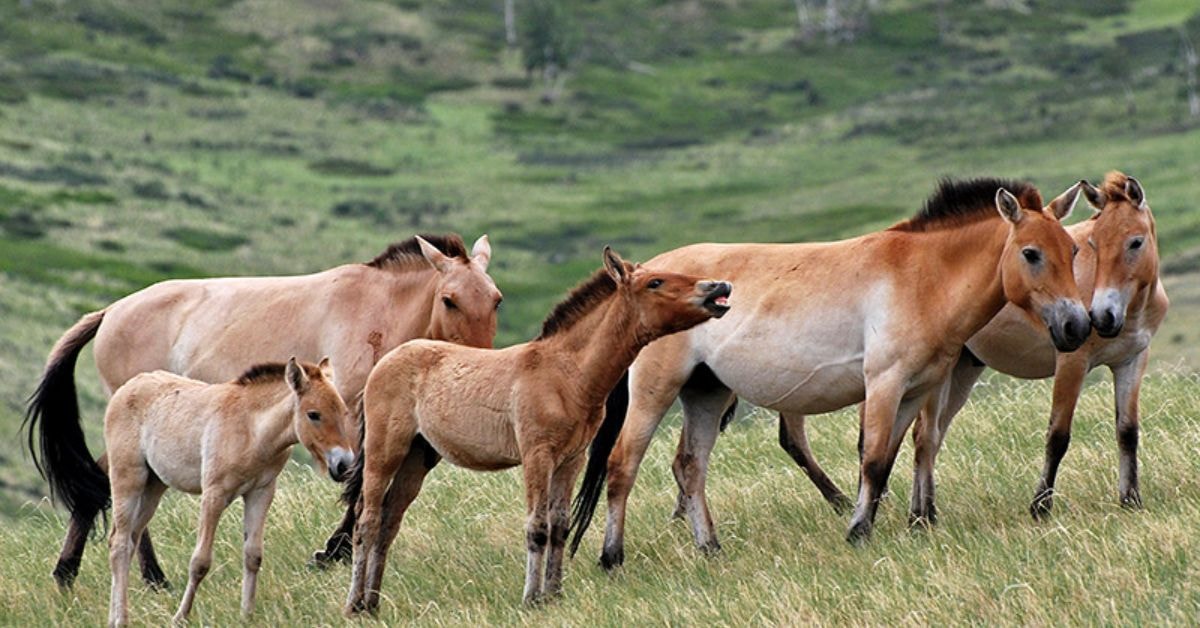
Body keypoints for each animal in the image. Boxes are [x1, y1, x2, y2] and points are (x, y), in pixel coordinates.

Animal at [106, 357, 355, 628]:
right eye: (314, 415)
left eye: (344, 412)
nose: (344, 465)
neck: (251, 430)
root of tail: (126, 388)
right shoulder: (214, 495)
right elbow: (200, 562)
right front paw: (180, 616)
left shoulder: (261, 493)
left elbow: (253, 556)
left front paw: (247, 615)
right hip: (128, 479)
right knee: (120, 545)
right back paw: (121, 620)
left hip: (153, 487)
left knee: (127, 541)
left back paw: (114, 617)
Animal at [340, 247, 729, 614]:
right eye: (655, 282)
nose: (718, 288)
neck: (566, 375)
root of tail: (384, 363)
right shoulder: (536, 455)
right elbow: (537, 528)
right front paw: (531, 598)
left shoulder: (571, 459)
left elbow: (559, 525)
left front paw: (554, 594)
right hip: (385, 451)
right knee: (367, 520)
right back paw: (354, 604)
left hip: (417, 457)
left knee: (389, 522)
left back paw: (373, 602)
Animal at [576, 176, 1094, 569]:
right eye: (1031, 253)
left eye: (1072, 251)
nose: (1077, 326)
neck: (922, 277)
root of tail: (640, 275)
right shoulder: (884, 384)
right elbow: (874, 459)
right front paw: (858, 531)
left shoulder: (914, 391)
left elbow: (890, 458)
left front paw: (889, 523)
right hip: (656, 390)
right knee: (623, 465)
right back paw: (611, 558)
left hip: (707, 392)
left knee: (690, 465)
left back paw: (711, 549)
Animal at [777, 171, 1161, 525]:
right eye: (1094, 244)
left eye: (1135, 242)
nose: (1101, 318)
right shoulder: (1072, 362)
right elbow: (1058, 436)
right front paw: (1040, 508)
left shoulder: (1132, 360)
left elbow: (1127, 431)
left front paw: (1130, 500)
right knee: (896, 438)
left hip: (959, 373)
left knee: (924, 439)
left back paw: (916, 513)